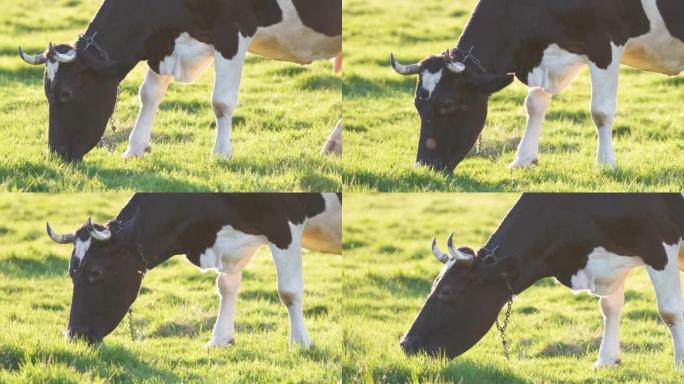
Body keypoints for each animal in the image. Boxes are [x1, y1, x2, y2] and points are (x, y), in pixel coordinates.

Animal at [20, 0, 340, 161]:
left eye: (66, 92)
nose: (57, 153)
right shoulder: (163, 43)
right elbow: (149, 94)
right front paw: (134, 148)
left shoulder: (232, 32)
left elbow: (221, 102)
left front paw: (221, 154)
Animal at [44, 194, 340, 346]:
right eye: (71, 272)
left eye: (95, 272)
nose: (74, 335)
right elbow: (227, 287)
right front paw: (220, 339)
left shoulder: (283, 222)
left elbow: (288, 291)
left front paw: (300, 342)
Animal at [390, 0, 684, 172]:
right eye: (417, 104)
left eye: (448, 105)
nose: (424, 166)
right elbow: (534, 105)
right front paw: (523, 159)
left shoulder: (605, 42)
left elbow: (600, 111)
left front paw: (605, 164)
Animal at [400, 194, 684, 370]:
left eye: (447, 291)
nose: (405, 343)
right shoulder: (611, 257)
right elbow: (610, 307)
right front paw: (606, 360)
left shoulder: (658, 244)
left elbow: (669, 311)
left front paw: (680, 364)